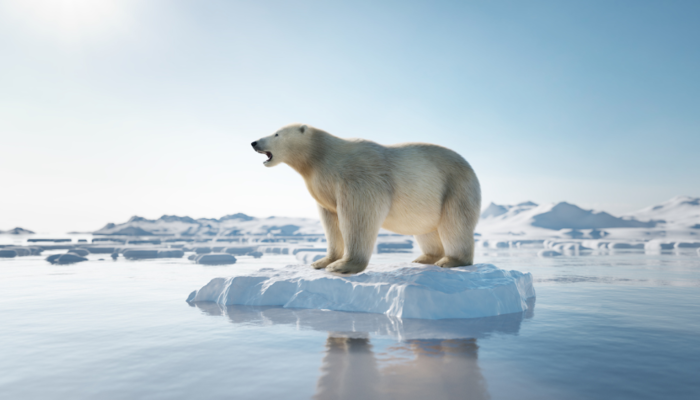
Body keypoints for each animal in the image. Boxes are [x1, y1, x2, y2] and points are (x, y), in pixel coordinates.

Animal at [252, 123, 482, 274]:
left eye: (276, 133)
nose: (254, 142)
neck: (321, 157)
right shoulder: (324, 188)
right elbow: (331, 221)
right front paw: (322, 261)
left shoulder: (358, 177)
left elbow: (358, 216)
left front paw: (342, 266)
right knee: (426, 230)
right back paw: (424, 258)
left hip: (456, 187)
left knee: (454, 224)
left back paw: (450, 260)